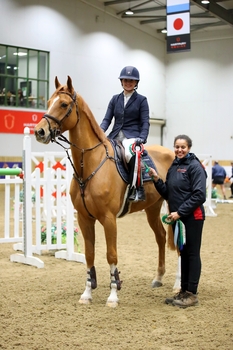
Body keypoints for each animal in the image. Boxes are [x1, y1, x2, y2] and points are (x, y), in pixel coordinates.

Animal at [33, 76, 174, 306]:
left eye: (63, 104)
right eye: (48, 103)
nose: (39, 131)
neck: (90, 165)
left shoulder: (109, 219)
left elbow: (111, 255)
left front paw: (113, 295)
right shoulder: (84, 218)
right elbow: (90, 255)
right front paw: (87, 294)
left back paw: (179, 284)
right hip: (152, 209)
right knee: (161, 237)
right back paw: (158, 278)